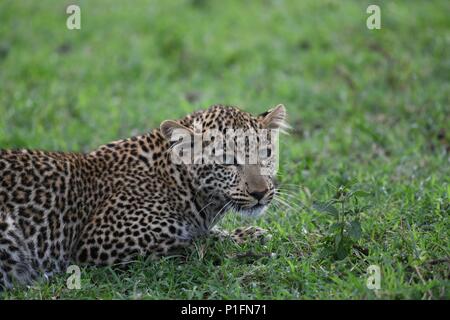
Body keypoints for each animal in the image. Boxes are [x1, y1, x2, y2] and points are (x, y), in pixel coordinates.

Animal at [0, 104, 286, 288]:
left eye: (265, 153)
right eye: (226, 160)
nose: (260, 192)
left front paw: (251, 233)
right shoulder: (98, 240)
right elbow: (197, 241)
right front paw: (242, 240)